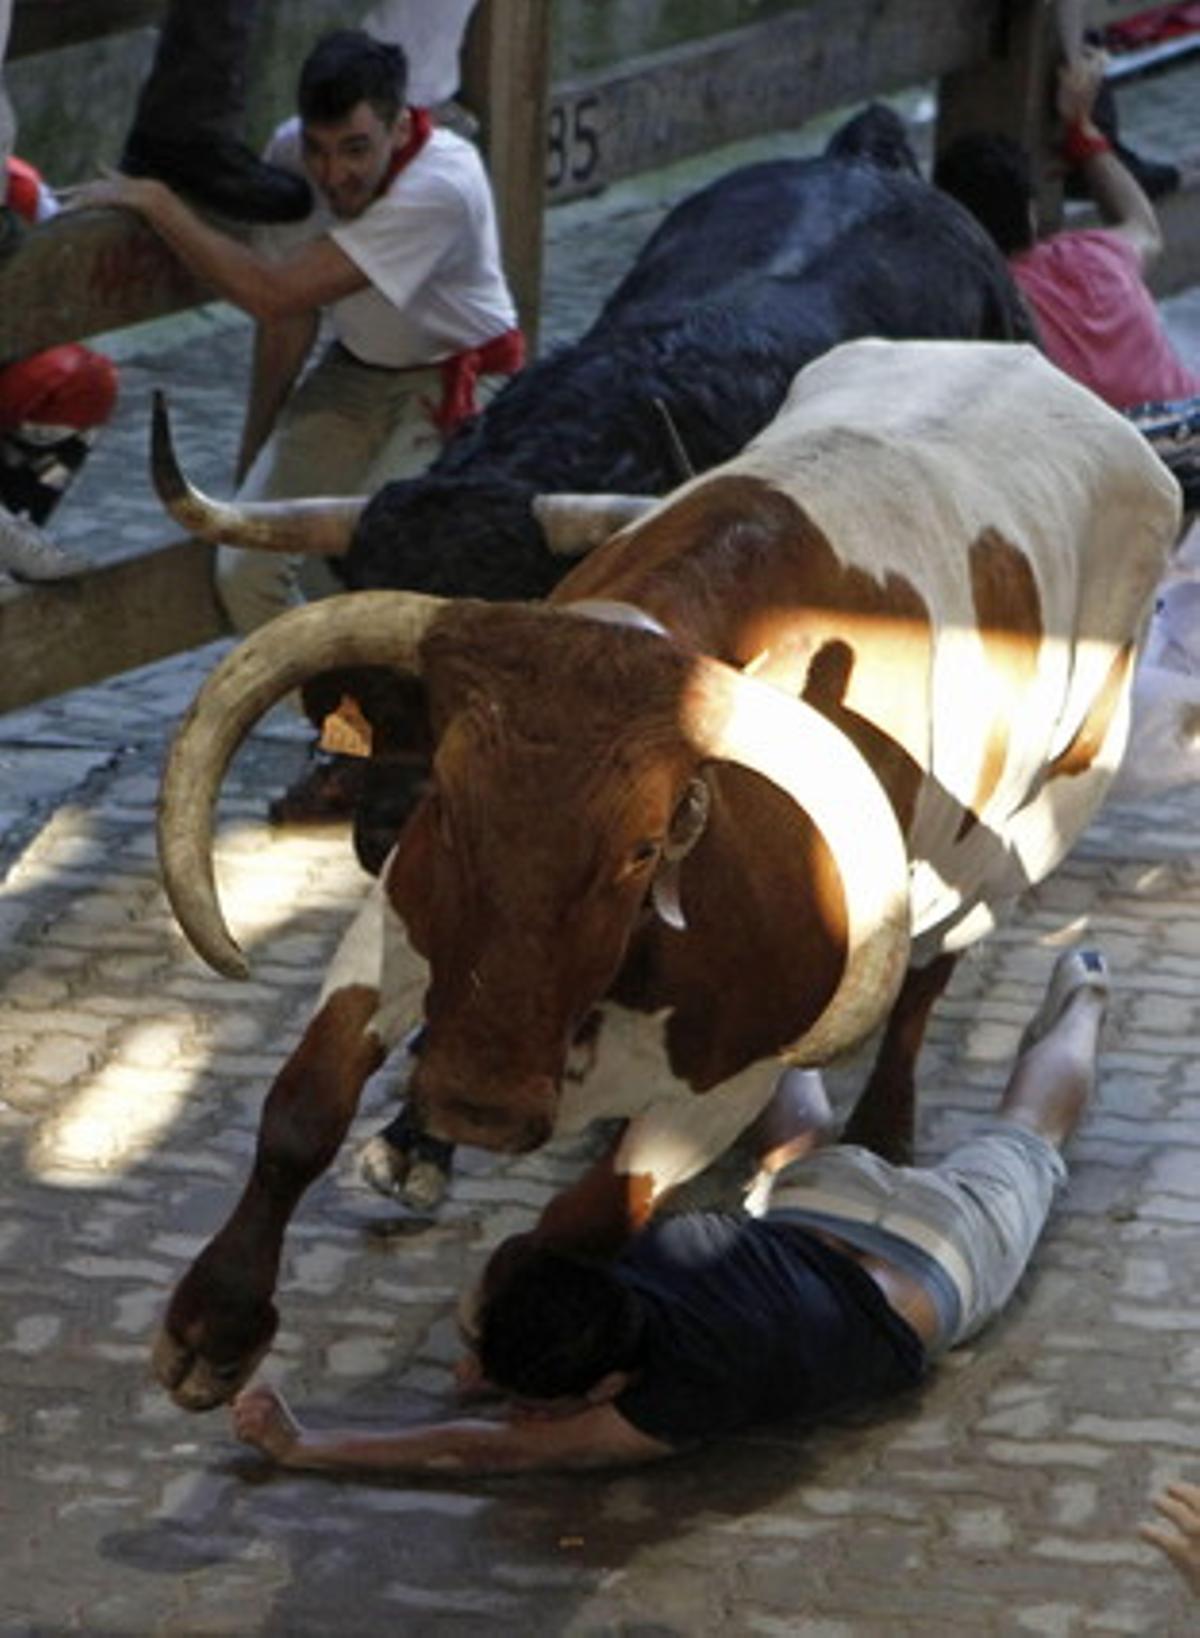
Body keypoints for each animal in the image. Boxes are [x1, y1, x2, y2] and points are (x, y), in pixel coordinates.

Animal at [149, 342, 1178, 1408]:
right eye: (451, 801)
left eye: (644, 846)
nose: (477, 1106)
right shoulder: (401, 922)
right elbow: (302, 1108)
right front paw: (215, 1325)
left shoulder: (734, 1072)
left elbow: (592, 1215)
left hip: (1031, 835)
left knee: (931, 974)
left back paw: (885, 1129)